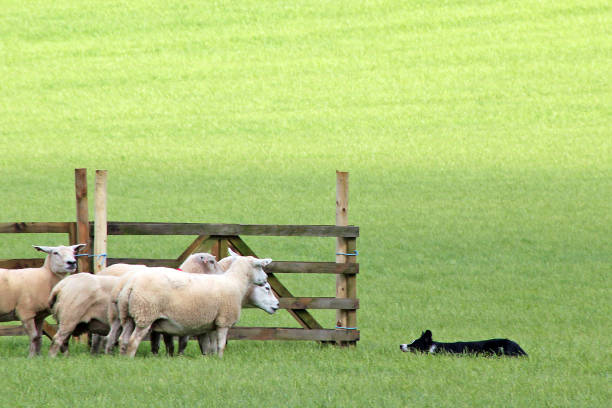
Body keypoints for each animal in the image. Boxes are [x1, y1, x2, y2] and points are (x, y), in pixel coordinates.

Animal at [120, 255, 268, 356]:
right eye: (259, 266)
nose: (266, 279)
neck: (236, 282)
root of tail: (132, 284)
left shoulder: (212, 323)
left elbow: (211, 346)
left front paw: (211, 358)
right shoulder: (224, 320)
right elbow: (220, 345)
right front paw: (220, 359)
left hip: (129, 315)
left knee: (123, 339)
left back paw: (123, 358)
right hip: (145, 313)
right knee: (133, 340)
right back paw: (130, 358)